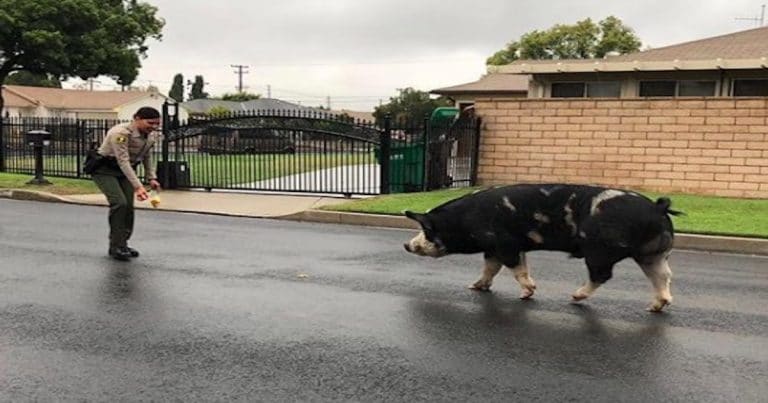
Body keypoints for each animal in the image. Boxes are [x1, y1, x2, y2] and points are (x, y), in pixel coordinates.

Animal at [404, 183, 680, 312]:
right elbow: (490, 268)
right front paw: (474, 287)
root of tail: (657, 208)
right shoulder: (496, 248)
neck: (467, 220)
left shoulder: (506, 243)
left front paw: (526, 294)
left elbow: (516, 269)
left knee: (602, 275)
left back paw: (575, 297)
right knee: (663, 276)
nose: (407, 245)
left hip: (600, 250)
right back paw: (655, 307)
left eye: (427, 230)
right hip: (652, 254)